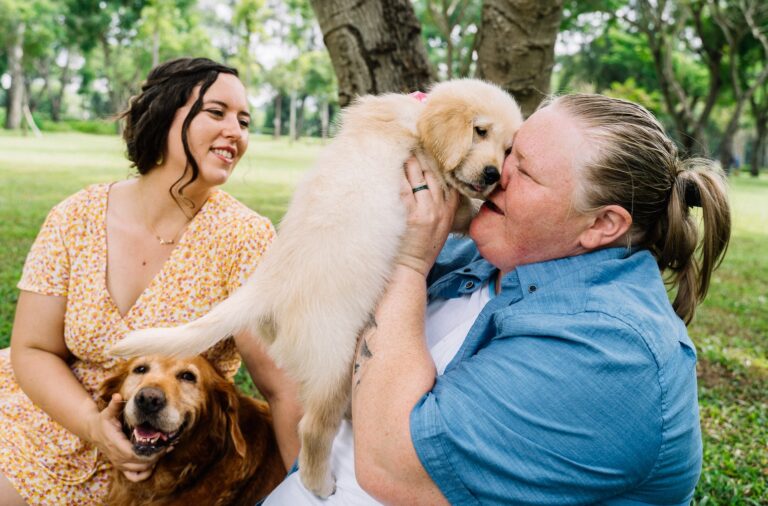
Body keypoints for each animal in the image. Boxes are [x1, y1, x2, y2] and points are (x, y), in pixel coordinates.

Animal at [112, 79, 520, 498]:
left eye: (509, 149)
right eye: (480, 131)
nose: (493, 175)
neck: (416, 122)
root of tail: (268, 285)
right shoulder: (437, 186)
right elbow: (467, 210)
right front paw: (484, 211)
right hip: (334, 362)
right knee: (312, 429)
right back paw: (320, 484)